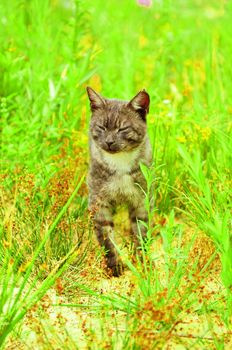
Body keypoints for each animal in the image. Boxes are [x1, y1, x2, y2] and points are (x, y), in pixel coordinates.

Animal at [87, 87, 152, 276]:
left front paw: (141, 261)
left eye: (122, 128)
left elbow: (141, 232)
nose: (109, 142)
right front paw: (115, 265)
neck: (120, 162)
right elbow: (107, 238)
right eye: (101, 127)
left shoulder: (142, 201)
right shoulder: (99, 204)